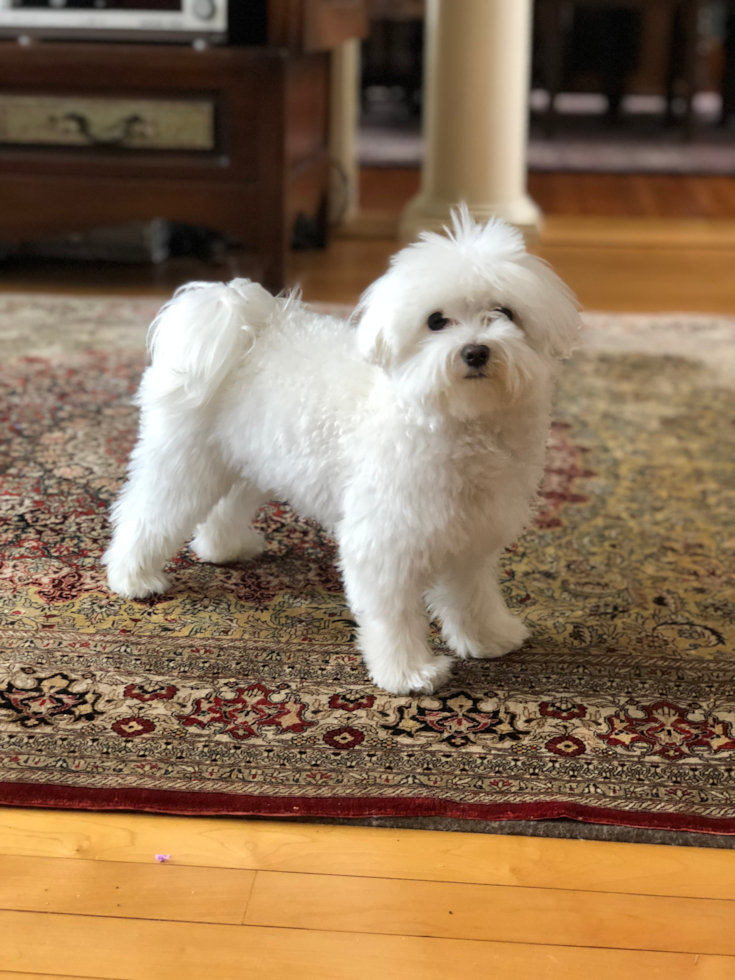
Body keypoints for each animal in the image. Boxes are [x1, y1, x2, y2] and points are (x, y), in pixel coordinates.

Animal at [105, 208, 580, 696]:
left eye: (504, 313)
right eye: (435, 321)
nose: (476, 351)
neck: (461, 420)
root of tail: (243, 323)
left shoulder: (473, 534)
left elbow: (472, 596)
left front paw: (489, 637)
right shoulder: (384, 541)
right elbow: (393, 614)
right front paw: (407, 672)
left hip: (249, 459)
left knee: (224, 505)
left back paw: (226, 548)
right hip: (184, 458)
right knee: (147, 511)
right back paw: (133, 577)